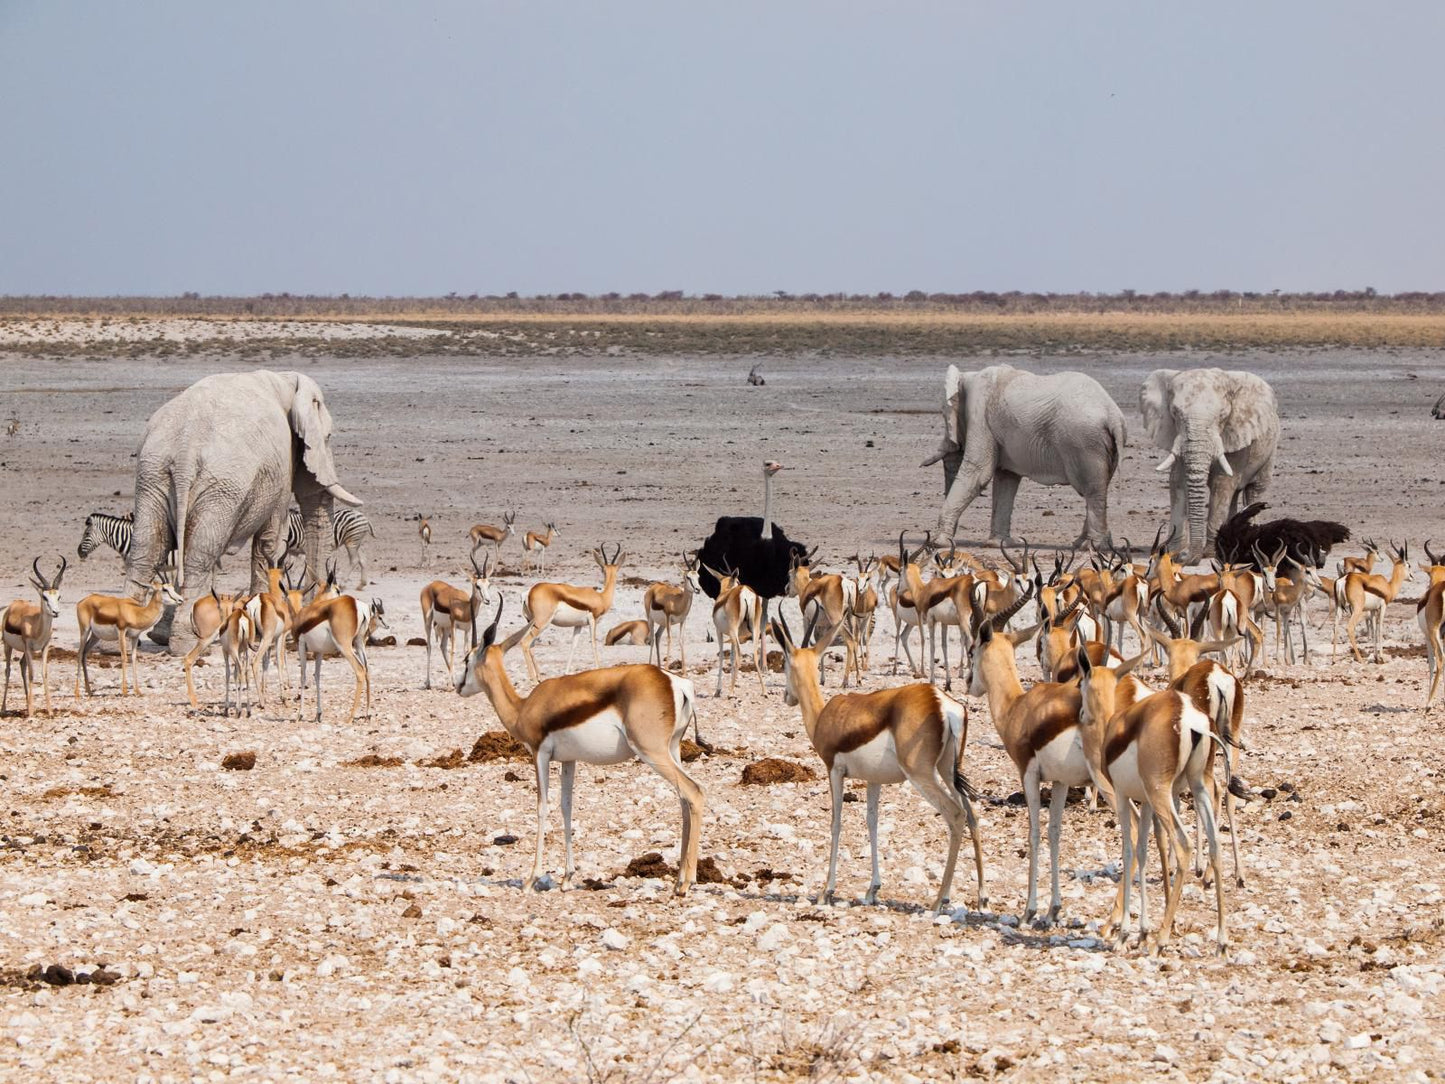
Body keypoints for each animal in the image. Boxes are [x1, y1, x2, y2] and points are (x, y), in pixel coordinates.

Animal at [126, 370, 361, 650]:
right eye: (327, 438)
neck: (286, 380)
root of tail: (185, 453)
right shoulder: (281, 467)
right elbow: (270, 545)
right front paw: (262, 631)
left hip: (153, 475)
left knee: (146, 550)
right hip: (219, 488)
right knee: (199, 557)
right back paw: (189, 642)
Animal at [924, 365, 1127, 546]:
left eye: (944, 415)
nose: (948, 538)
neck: (968, 376)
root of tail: (1113, 415)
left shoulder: (979, 415)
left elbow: (978, 472)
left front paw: (938, 543)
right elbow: (1006, 479)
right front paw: (998, 544)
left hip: (1084, 442)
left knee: (1092, 490)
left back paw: (1091, 546)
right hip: (1102, 445)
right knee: (1098, 488)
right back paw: (1084, 544)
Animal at [1138, 370, 1277, 563]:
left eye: (1223, 415)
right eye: (1174, 413)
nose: (1184, 558)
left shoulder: (1234, 433)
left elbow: (1222, 483)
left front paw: (1210, 553)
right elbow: (1178, 481)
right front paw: (1173, 551)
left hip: (1269, 453)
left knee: (1253, 492)